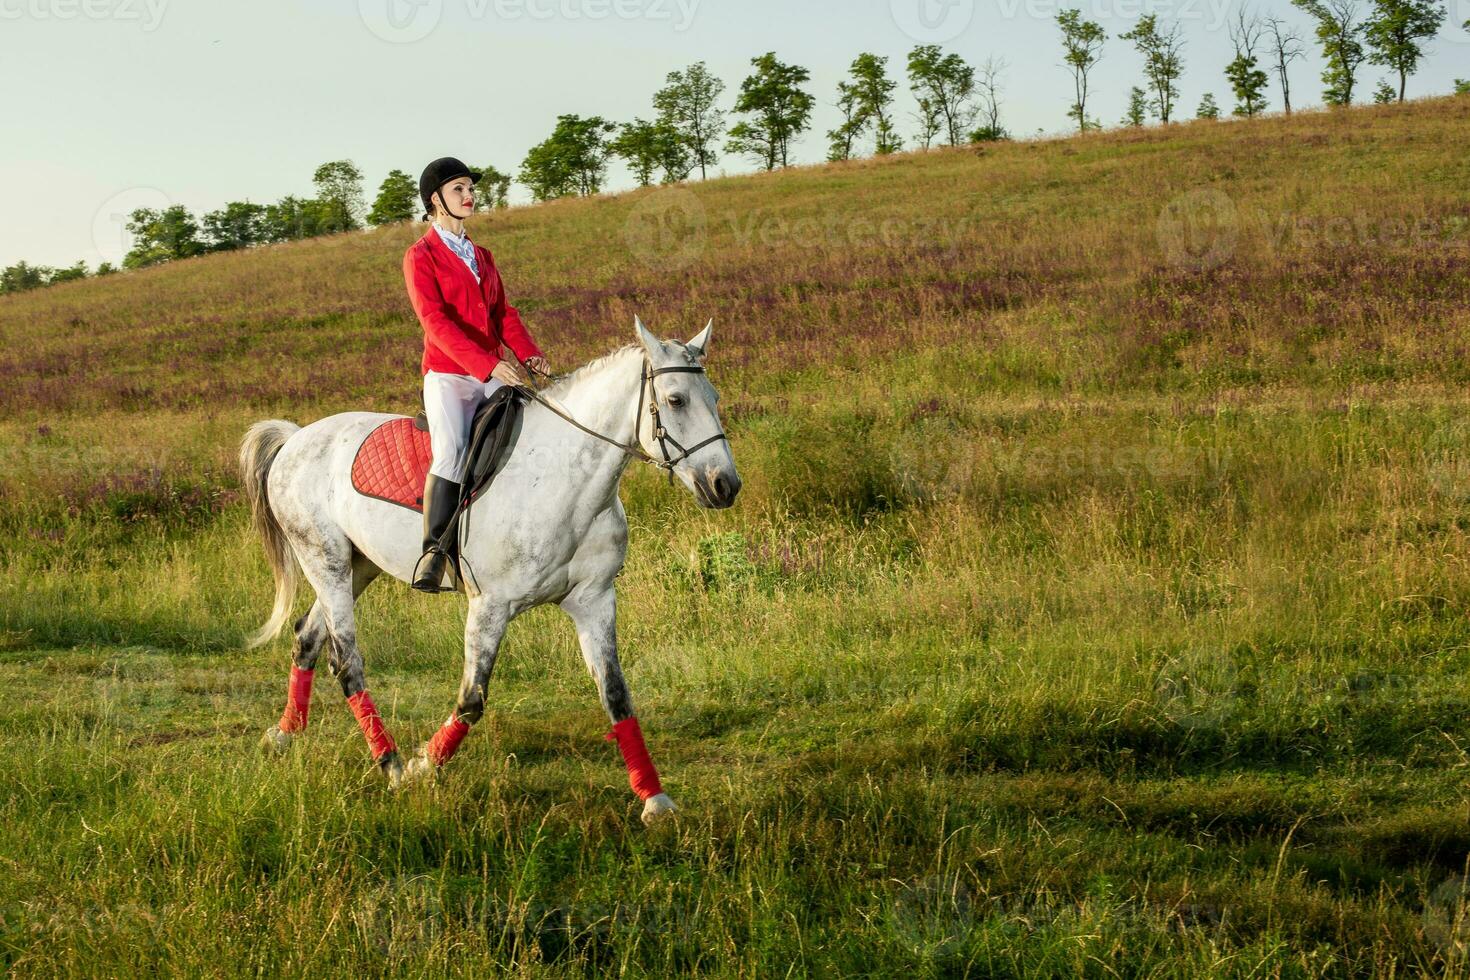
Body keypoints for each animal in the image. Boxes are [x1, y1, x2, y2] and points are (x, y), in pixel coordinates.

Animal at [244, 318, 746, 822]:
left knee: (308, 638)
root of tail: (296, 438)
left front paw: (655, 800)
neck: (564, 479)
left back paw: (284, 735)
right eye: (676, 400)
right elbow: (472, 699)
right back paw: (391, 765)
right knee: (346, 660)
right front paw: (423, 767)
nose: (725, 485)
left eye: (714, 396)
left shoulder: (594, 600)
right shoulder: (490, 607)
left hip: (357, 566)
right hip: (323, 559)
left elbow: (617, 695)